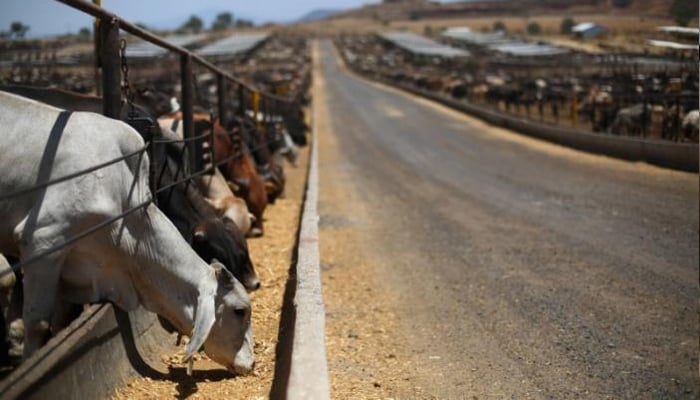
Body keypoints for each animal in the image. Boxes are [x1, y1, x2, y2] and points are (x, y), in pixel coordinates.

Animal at [0, 91, 252, 376]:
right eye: (240, 311)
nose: (252, 363)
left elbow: (63, 316)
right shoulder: (43, 241)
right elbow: (38, 323)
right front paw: (27, 361)